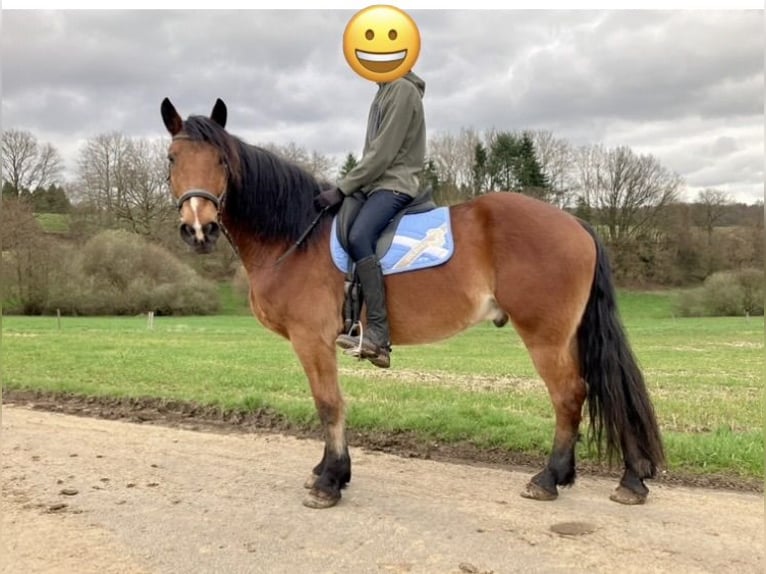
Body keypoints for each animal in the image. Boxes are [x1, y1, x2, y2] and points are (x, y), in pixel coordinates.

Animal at [160, 97, 665, 509]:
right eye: (172, 159)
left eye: (221, 160)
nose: (198, 229)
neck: (294, 234)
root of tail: (576, 223)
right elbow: (329, 404)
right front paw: (329, 471)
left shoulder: (312, 339)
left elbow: (328, 404)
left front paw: (330, 480)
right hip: (568, 334)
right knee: (596, 388)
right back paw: (618, 478)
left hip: (545, 335)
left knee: (569, 394)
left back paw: (549, 478)